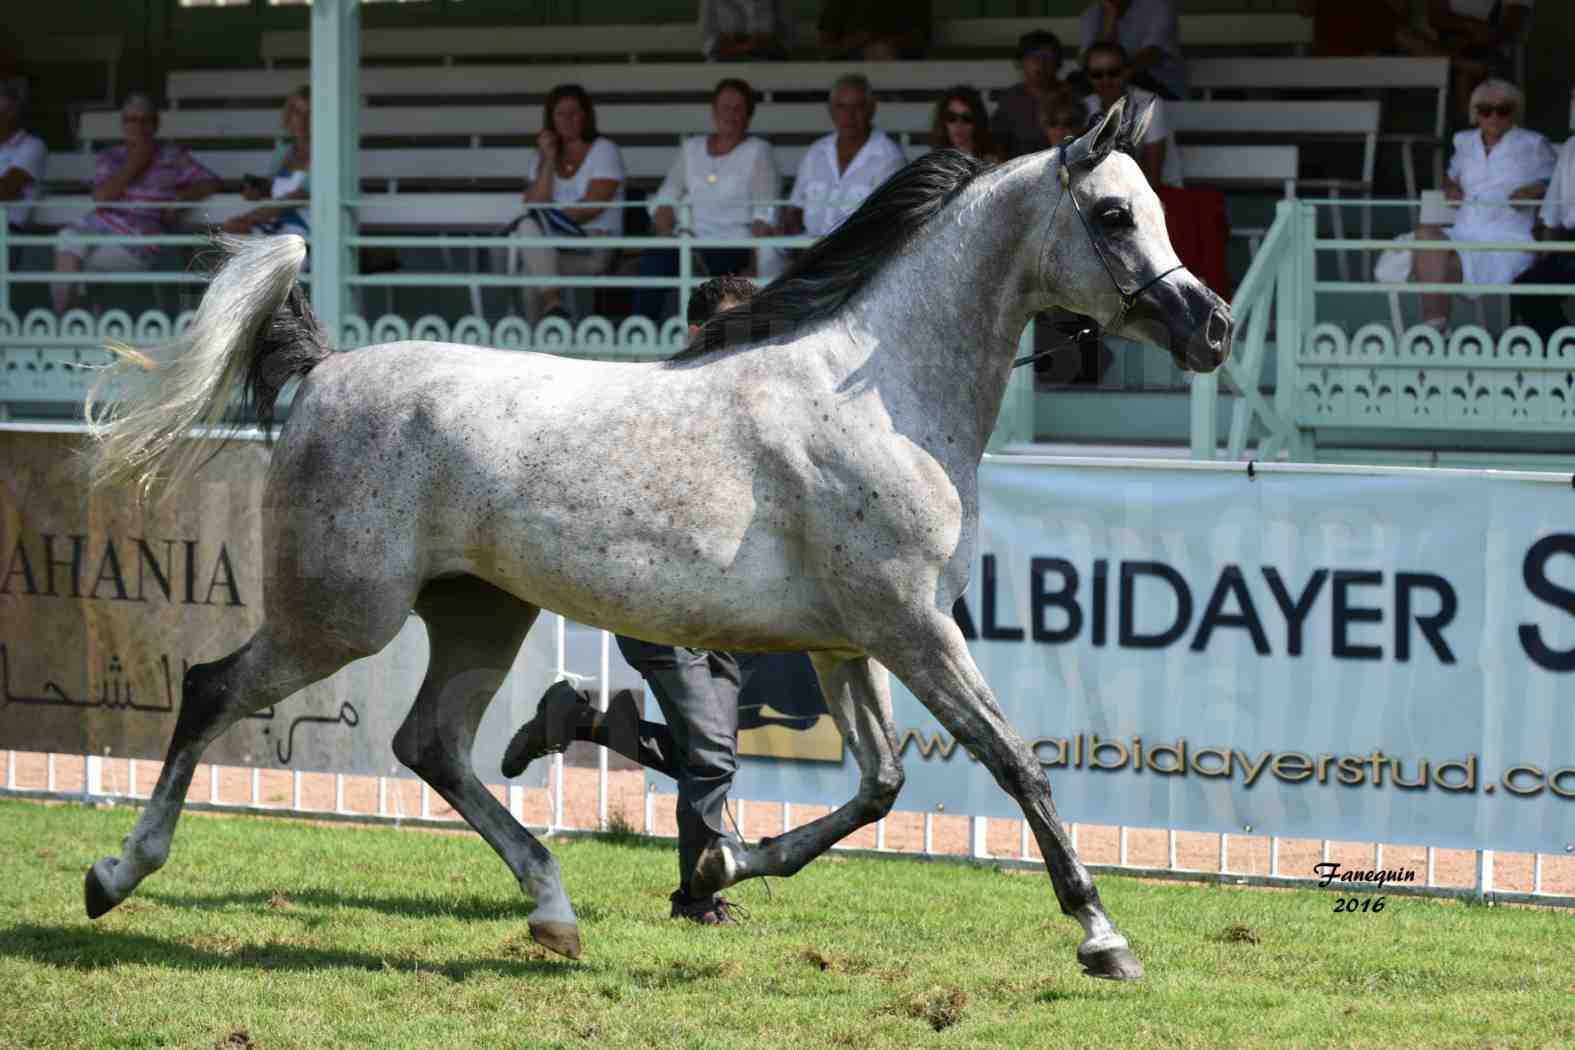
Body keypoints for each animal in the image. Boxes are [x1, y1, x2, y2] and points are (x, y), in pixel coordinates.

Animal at [86, 94, 1228, 982]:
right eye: (1114, 212)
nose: (1209, 327)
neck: (879, 395)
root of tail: (324, 373)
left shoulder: (853, 640)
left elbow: (878, 785)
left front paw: (723, 864)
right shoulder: (912, 629)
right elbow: (1014, 766)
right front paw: (1103, 937)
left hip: (479, 613)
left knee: (432, 746)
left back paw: (553, 911)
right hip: (338, 616)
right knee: (214, 691)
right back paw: (113, 875)